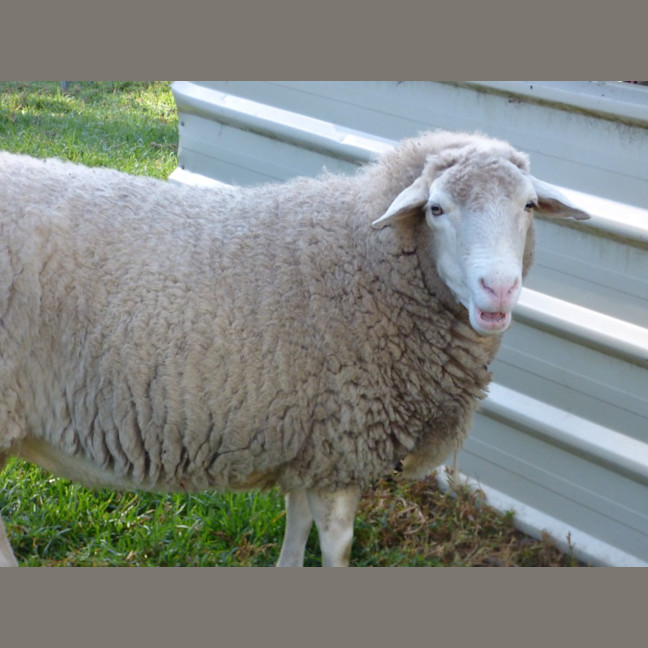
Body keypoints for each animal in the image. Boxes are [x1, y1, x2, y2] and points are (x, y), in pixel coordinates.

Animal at [0, 130, 590, 567]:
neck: (366, 258)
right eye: (437, 210)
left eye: (529, 206)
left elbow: (296, 522)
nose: (499, 289)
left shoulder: (308, 438)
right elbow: (337, 546)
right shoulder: (343, 441)